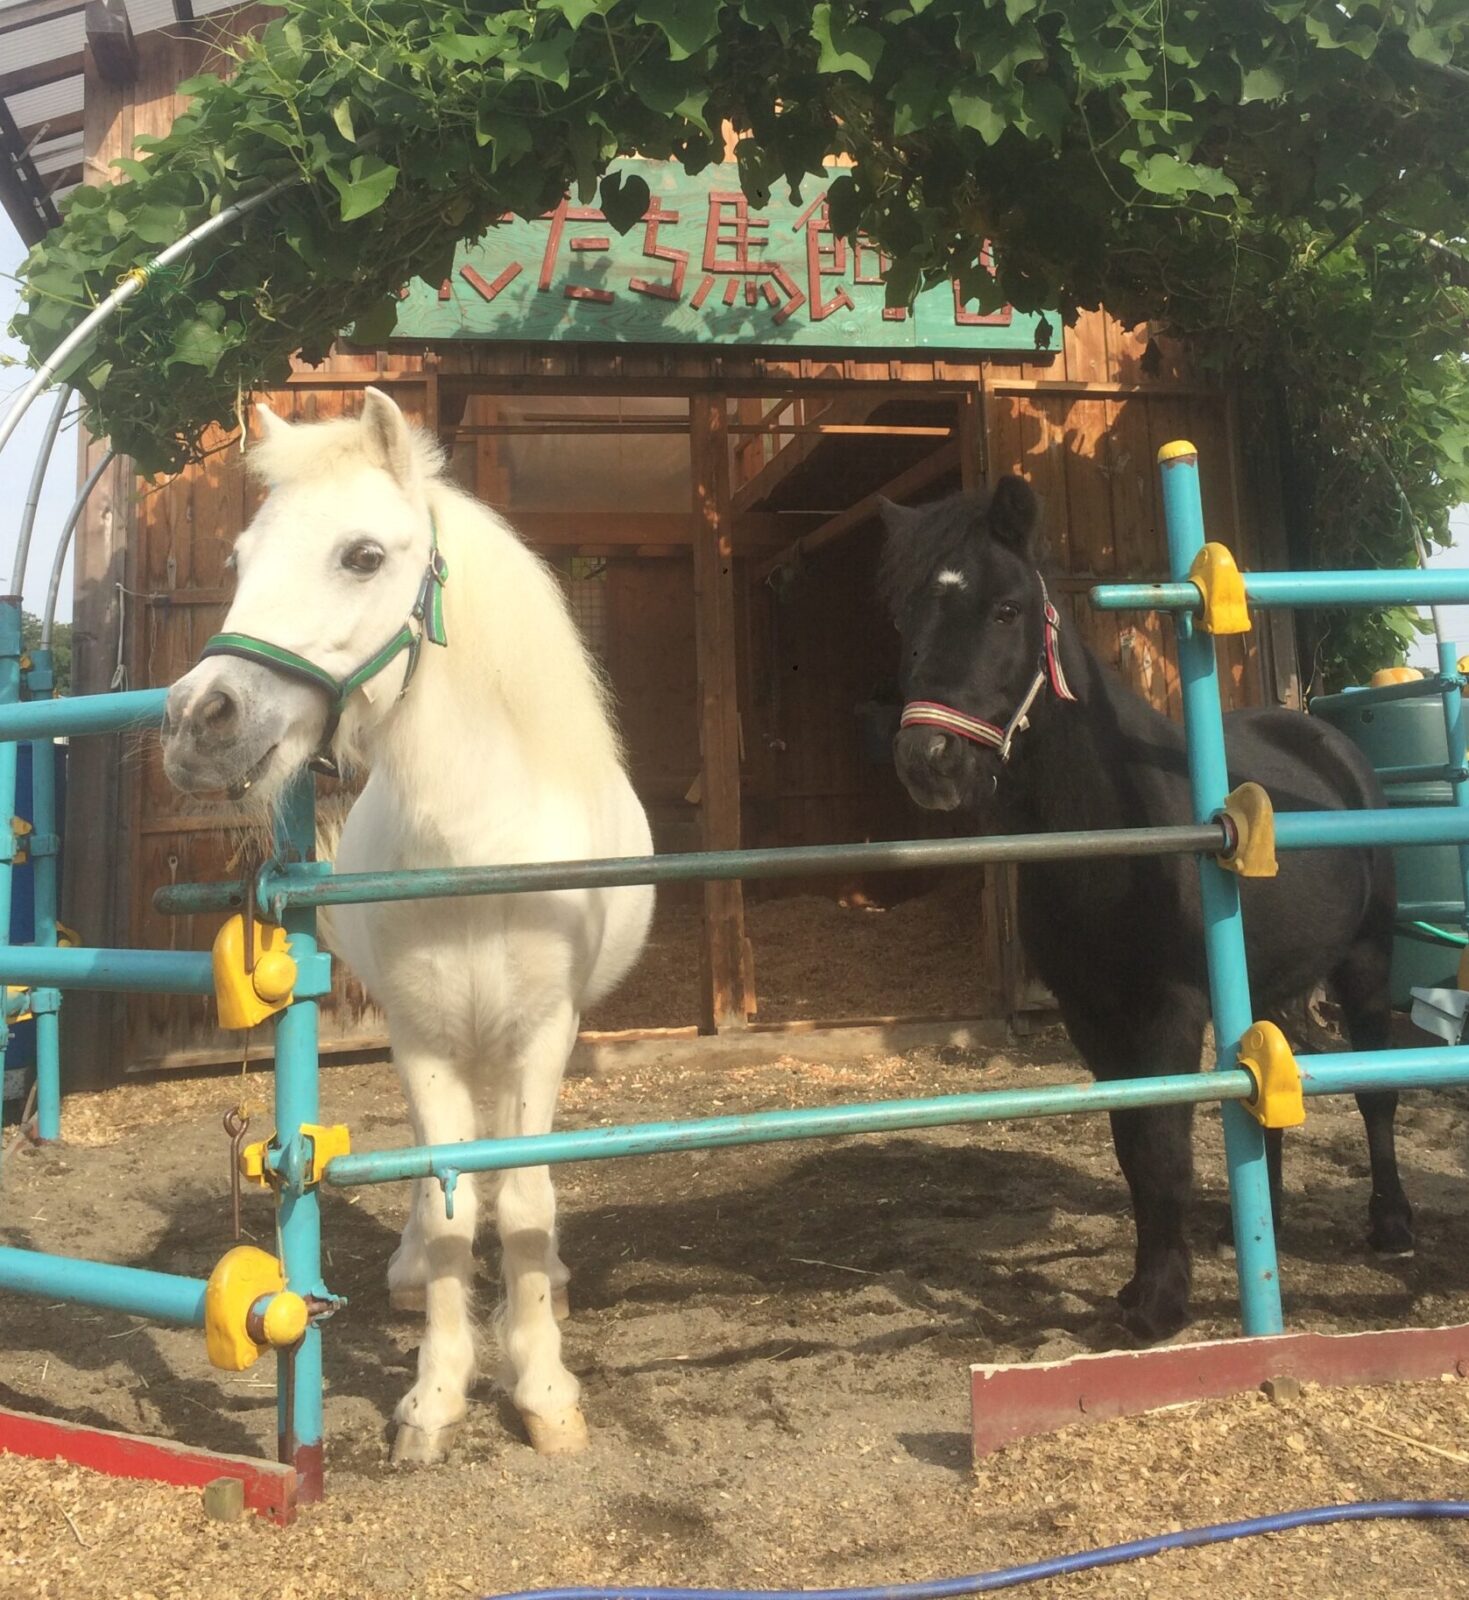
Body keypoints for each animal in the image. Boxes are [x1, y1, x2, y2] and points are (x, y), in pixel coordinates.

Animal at [161, 388, 654, 1462]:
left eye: (361, 555)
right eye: (240, 558)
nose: (198, 720)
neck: (472, 845)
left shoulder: (542, 1034)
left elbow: (521, 1198)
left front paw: (541, 1388)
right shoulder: (422, 1037)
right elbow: (450, 1206)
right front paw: (436, 1394)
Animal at [879, 477, 1413, 1342]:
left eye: (1005, 610)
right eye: (903, 617)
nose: (928, 761)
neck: (1112, 832)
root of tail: (1326, 742)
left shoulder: (1169, 1004)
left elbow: (1162, 1146)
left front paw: (1160, 1304)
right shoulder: (1090, 1011)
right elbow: (1133, 1142)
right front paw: (1140, 1288)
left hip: (1366, 960)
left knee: (1376, 1089)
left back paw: (1391, 1223)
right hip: (1265, 982)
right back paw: (1256, 1230)